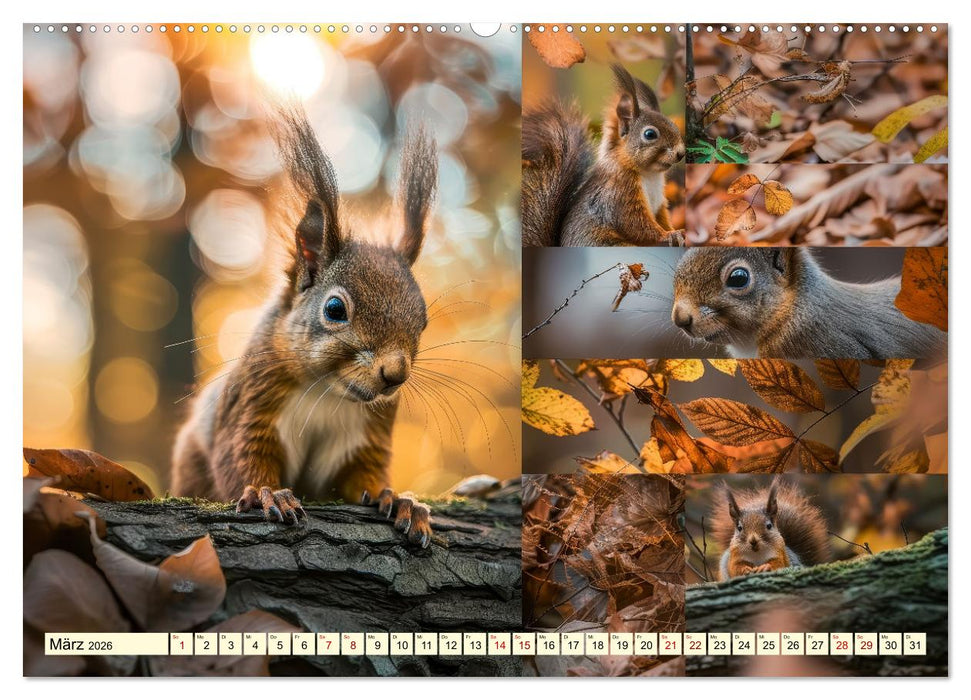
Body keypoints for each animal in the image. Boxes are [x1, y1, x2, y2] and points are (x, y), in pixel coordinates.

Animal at [171, 105, 437, 547]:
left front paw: (400, 500)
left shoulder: (367, 438)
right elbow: (242, 458)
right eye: (334, 308)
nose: (395, 374)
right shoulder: (252, 406)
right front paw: (267, 493)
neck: (327, 393)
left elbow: (364, 478)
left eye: (424, 320)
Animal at [521, 64, 685, 247]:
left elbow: (662, 219)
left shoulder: (659, 205)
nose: (681, 153)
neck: (650, 175)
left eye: (674, 126)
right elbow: (635, 224)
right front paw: (668, 235)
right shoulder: (618, 194)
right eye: (650, 134)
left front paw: (674, 231)